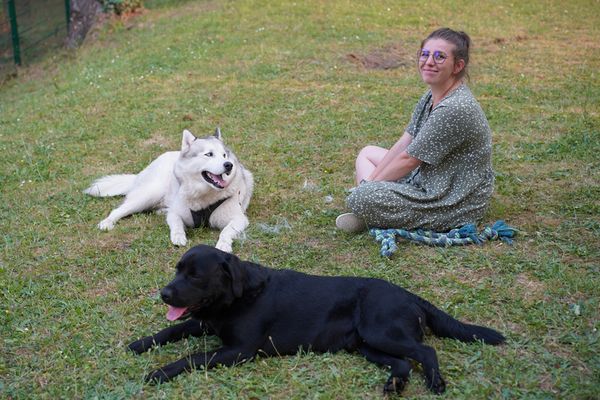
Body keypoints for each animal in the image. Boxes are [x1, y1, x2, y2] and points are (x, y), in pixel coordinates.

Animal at [84, 129, 253, 253]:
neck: (202, 195)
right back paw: (107, 222)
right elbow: (176, 223)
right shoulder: (176, 213)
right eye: (209, 154)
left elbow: (226, 231)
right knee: (118, 210)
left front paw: (223, 244)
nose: (228, 165)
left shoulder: (239, 219)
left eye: (224, 155)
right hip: (148, 195)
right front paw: (178, 236)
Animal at [129, 244, 504, 394]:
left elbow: (194, 356)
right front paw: (141, 343)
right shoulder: (203, 323)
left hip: (381, 332)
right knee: (402, 364)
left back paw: (436, 383)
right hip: (366, 346)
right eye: (177, 269)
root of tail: (409, 294)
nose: (164, 293)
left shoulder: (239, 350)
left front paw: (161, 371)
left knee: (426, 352)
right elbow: (173, 329)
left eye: (195, 276)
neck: (238, 296)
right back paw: (393, 386)